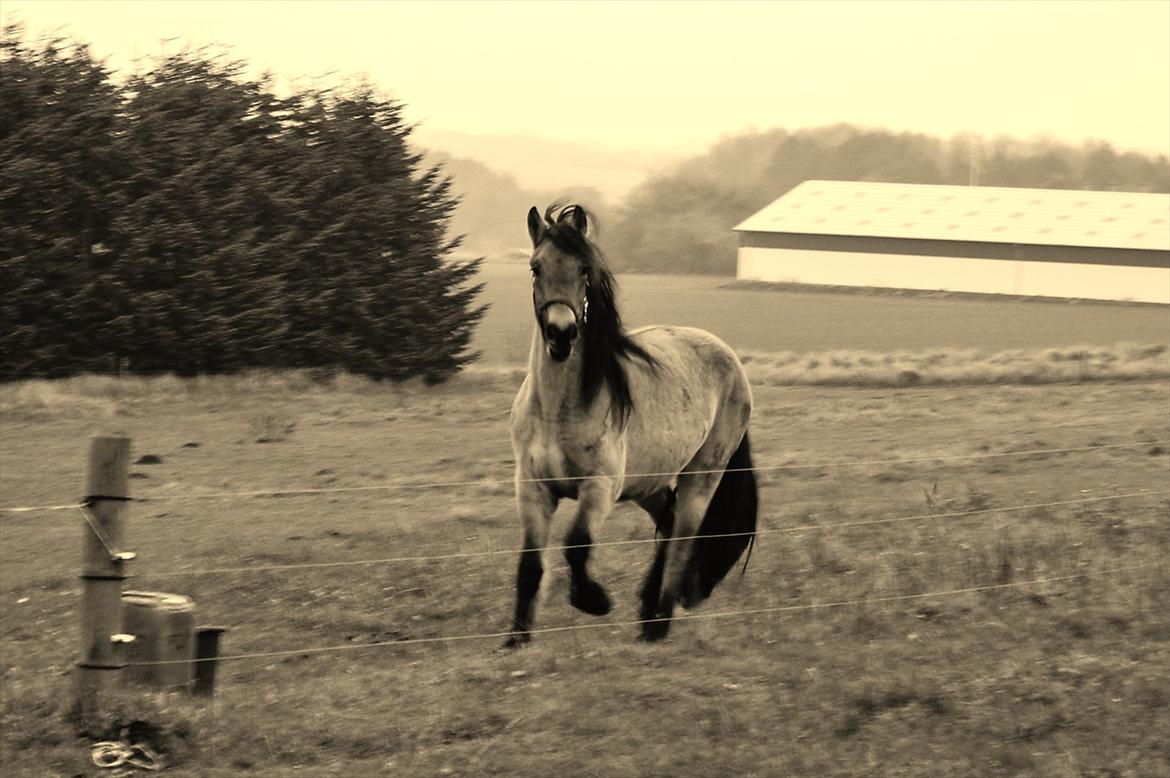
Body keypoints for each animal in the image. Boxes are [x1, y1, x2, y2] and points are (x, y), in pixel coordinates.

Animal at [503, 201, 758, 641]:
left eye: (584, 269)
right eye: (536, 267)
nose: (561, 334)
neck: (557, 411)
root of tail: (728, 357)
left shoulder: (599, 488)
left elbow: (576, 544)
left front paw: (594, 600)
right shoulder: (533, 488)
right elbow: (531, 565)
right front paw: (517, 641)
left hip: (701, 476)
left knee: (682, 539)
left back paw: (658, 626)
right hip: (649, 484)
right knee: (669, 527)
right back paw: (651, 611)